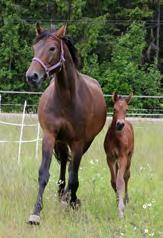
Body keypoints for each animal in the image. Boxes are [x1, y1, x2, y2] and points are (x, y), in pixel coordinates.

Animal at [25, 24, 106, 225]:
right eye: (34, 48)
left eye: (52, 48)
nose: (32, 76)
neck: (66, 98)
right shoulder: (49, 136)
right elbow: (44, 173)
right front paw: (35, 213)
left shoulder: (78, 142)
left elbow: (74, 177)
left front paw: (72, 203)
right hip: (61, 141)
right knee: (63, 164)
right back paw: (61, 194)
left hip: (84, 143)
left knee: (71, 170)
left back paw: (68, 198)